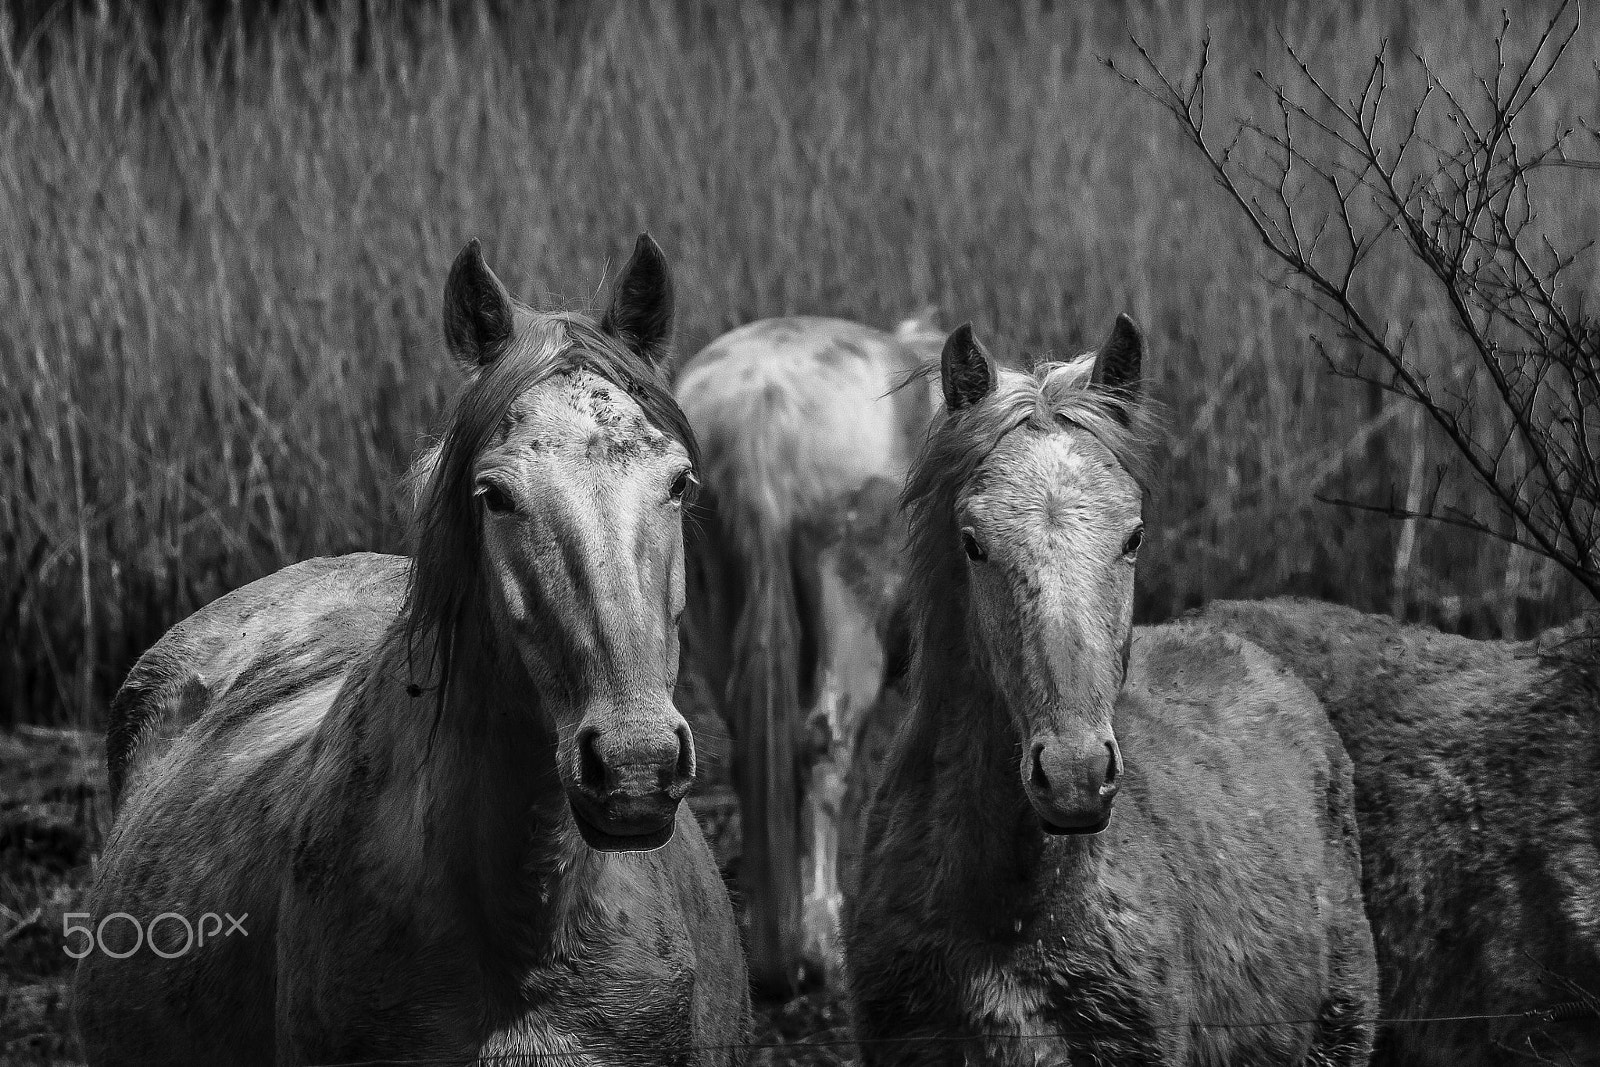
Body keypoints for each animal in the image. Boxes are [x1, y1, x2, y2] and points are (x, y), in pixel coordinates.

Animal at [678, 313, 947, 998]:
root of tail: (759, 415)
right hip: (845, 591)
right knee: (824, 743)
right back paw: (825, 949)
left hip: (714, 595)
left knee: (758, 747)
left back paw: (776, 951)